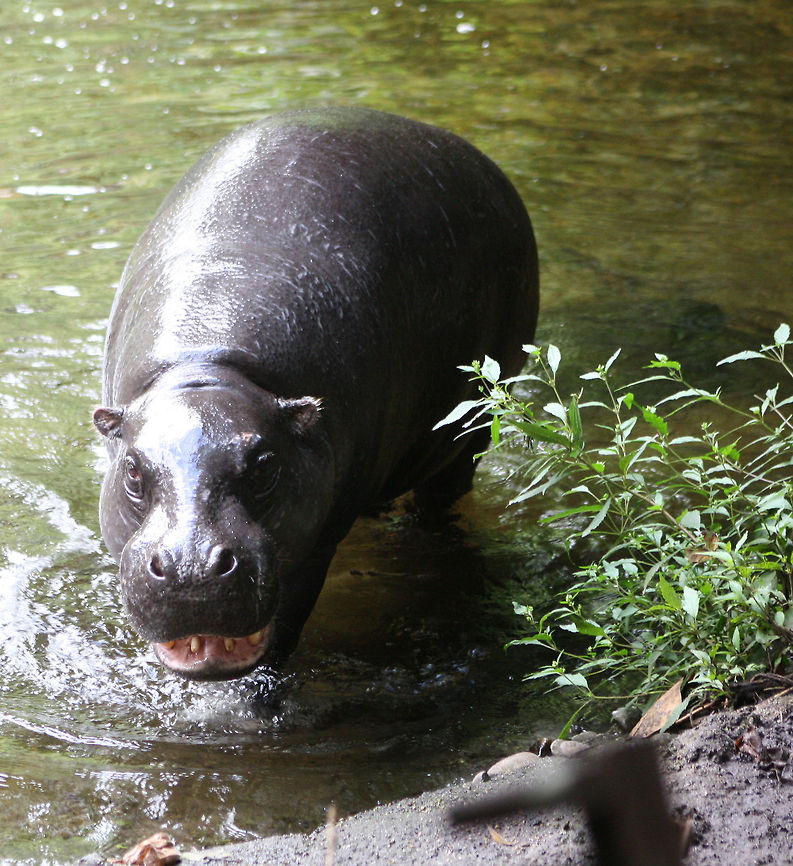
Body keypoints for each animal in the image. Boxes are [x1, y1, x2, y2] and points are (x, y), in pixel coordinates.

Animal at [93, 106, 539, 680]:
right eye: (131, 471)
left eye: (264, 465)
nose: (193, 569)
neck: (207, 370)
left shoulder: (314, 544)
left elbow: (282, 635)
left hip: (474, 427)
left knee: (443, 501)